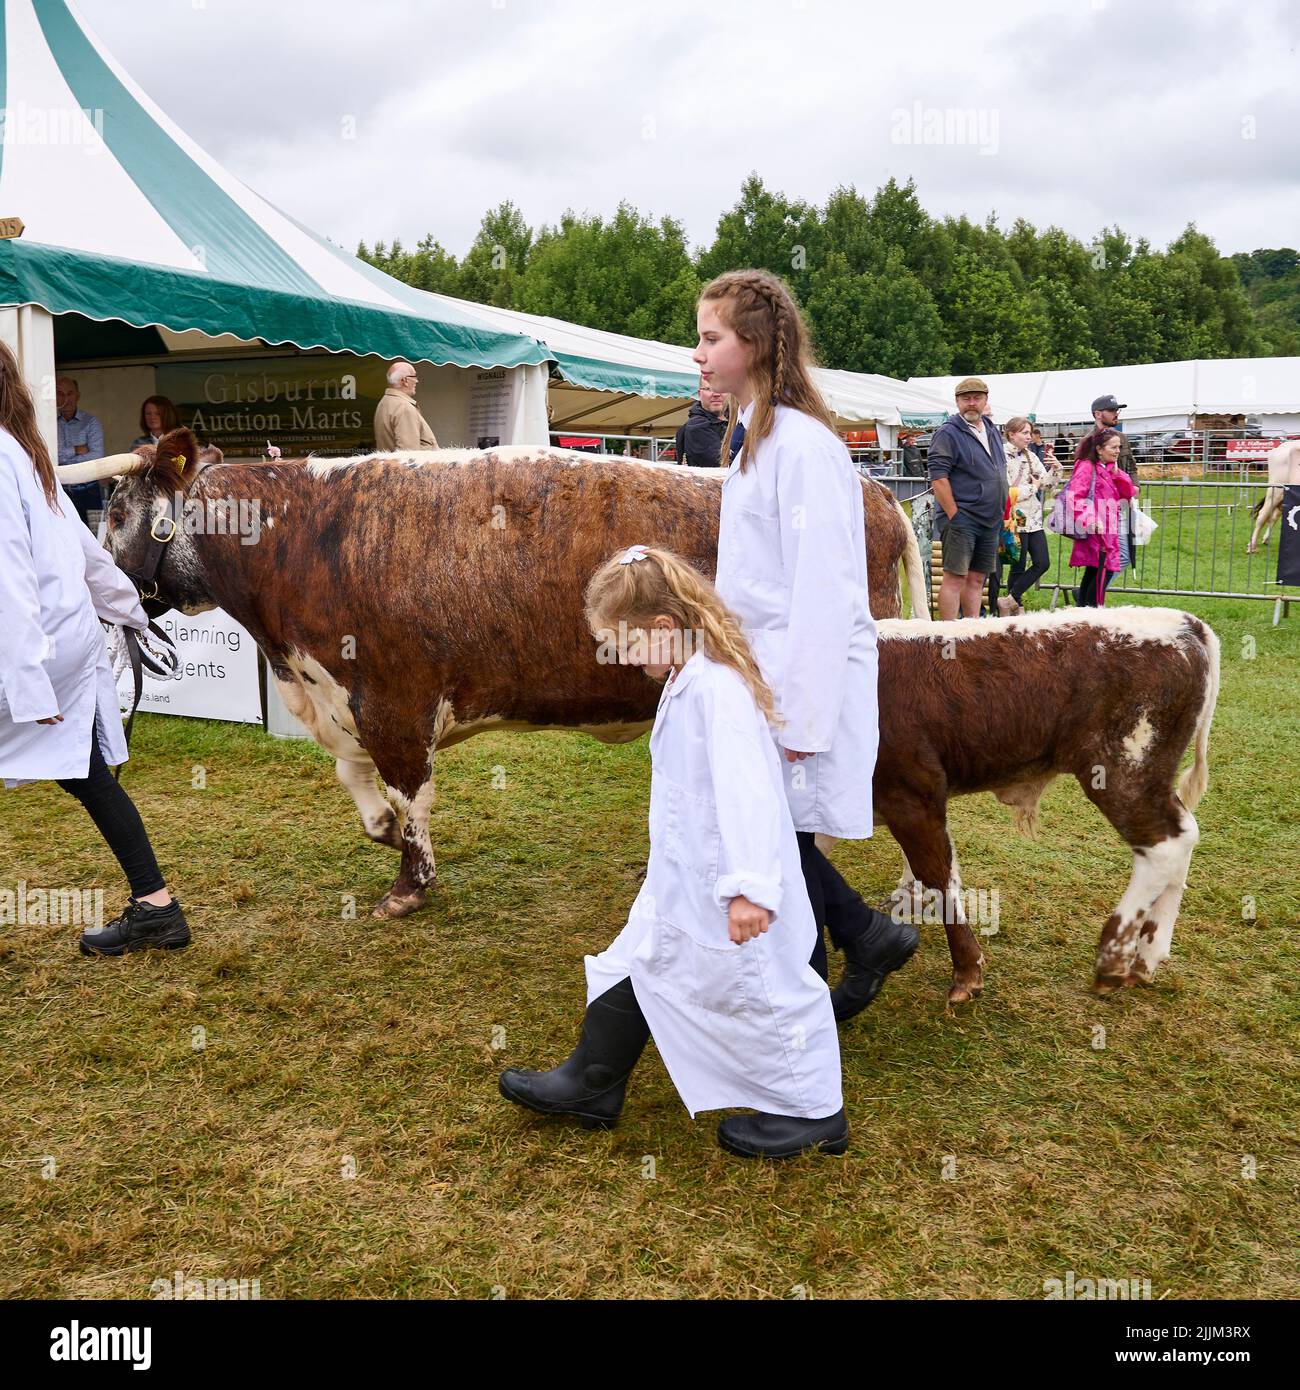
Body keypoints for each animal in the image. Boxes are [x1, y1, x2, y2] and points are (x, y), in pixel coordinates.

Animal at [873, 608, 1217, 1000]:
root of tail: (1183, 621)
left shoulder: (912, 796)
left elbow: (938, 876)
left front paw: (967, 971)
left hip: (1123, 772)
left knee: (1165, 845)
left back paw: (1113, 958)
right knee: (1186, 833)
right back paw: (1147, 956)